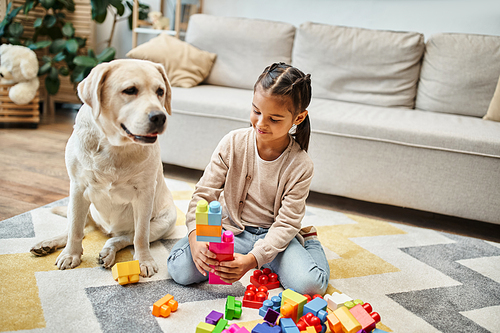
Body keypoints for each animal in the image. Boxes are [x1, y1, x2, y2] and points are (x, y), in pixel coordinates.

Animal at [29, 59, 178, 274]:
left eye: (160, 91)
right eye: (130, 90)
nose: (160, 117)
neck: (114, 145)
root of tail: (106, 229)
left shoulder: (144, 194)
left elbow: (140, 236)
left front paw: (144, 260)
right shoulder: (78, 188)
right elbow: (75, 229)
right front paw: (71, 255)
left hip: (165, 221)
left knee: (124, 238)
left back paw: (108, 251)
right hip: (80, 206)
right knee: (77, 229)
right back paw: (48, 244)